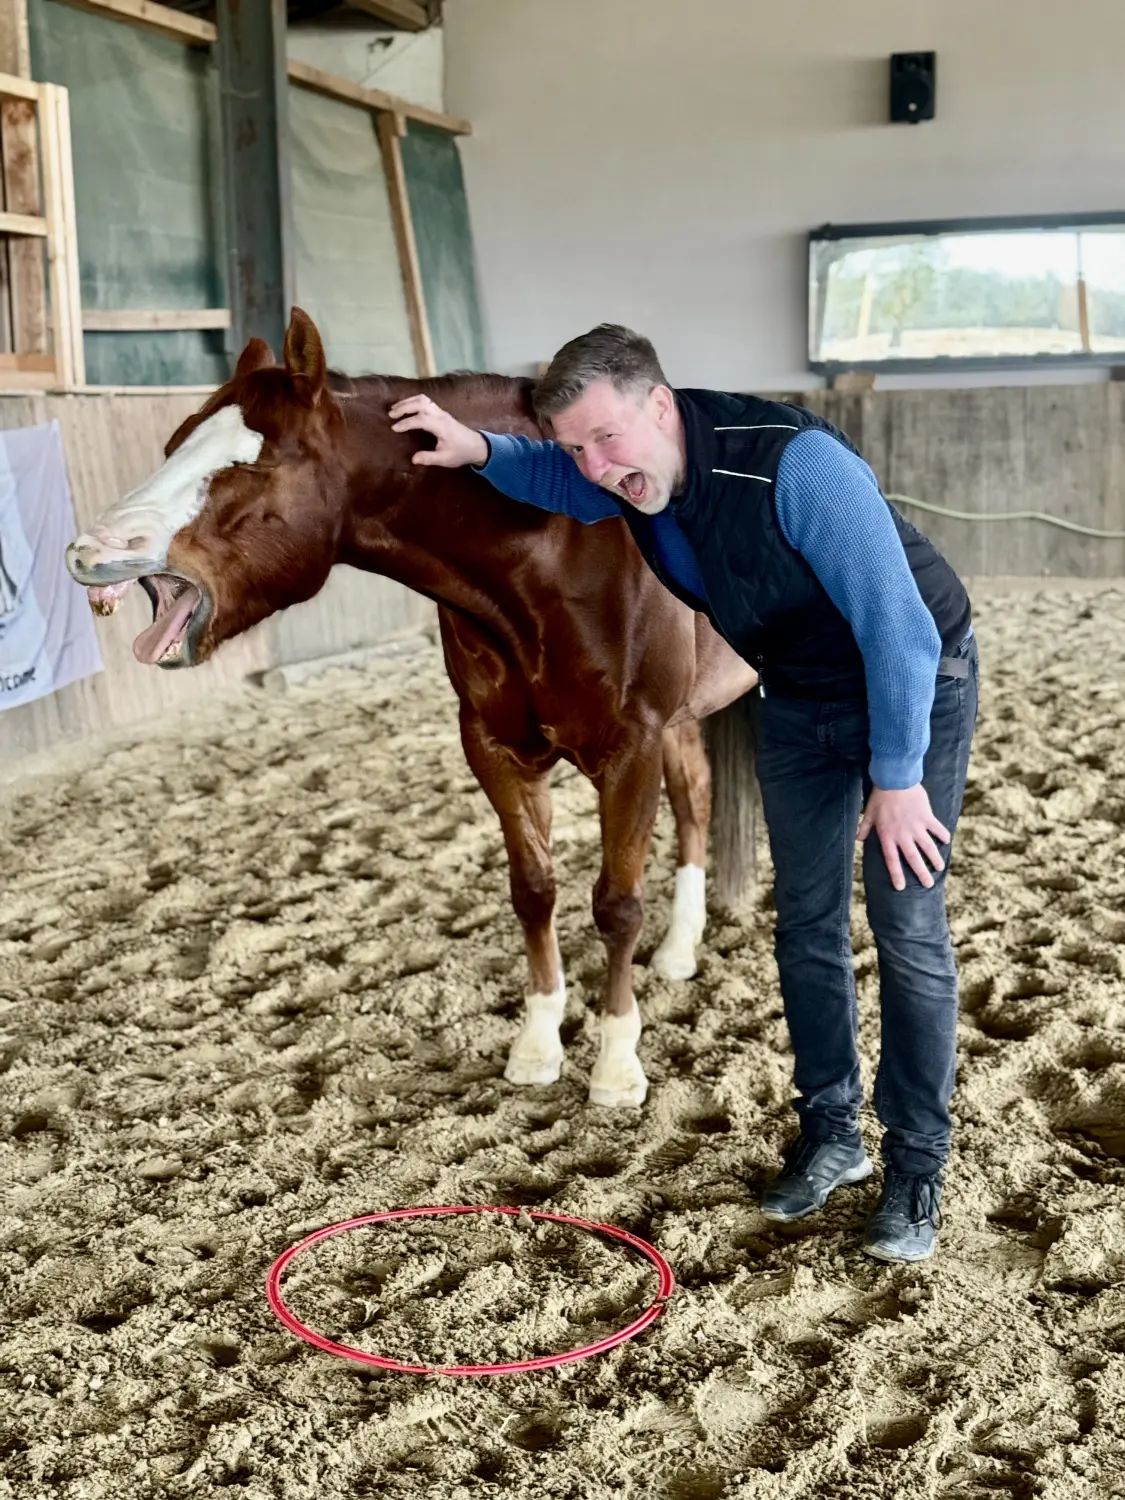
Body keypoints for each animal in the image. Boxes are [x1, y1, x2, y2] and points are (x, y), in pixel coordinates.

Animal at [68, 307, 759, 1104]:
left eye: (253, 464)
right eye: (175, 441)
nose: (91, 551)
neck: (554, 550)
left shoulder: (629, 751)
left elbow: (616, 905)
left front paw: (616, 1066)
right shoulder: (496, 751)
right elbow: (534, 891)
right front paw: (537, 1044)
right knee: (696, 801)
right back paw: (679, 950)